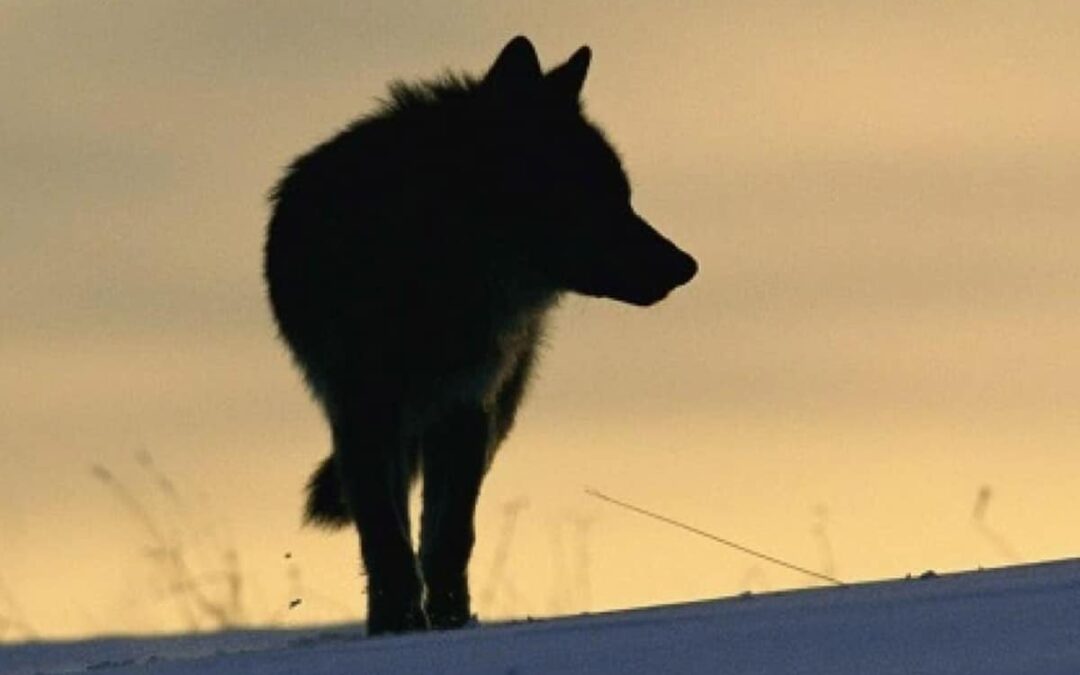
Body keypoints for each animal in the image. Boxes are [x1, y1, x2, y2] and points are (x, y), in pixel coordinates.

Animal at [264, 36, 697, 635]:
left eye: (624, 195)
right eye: (596, 196)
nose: (686, 266)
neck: (436, 269)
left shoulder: (467, 406)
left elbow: (449, 538)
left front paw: (448, 624)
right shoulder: (363, 411)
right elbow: (385, 540)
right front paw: (397, 629)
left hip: (493, 412)